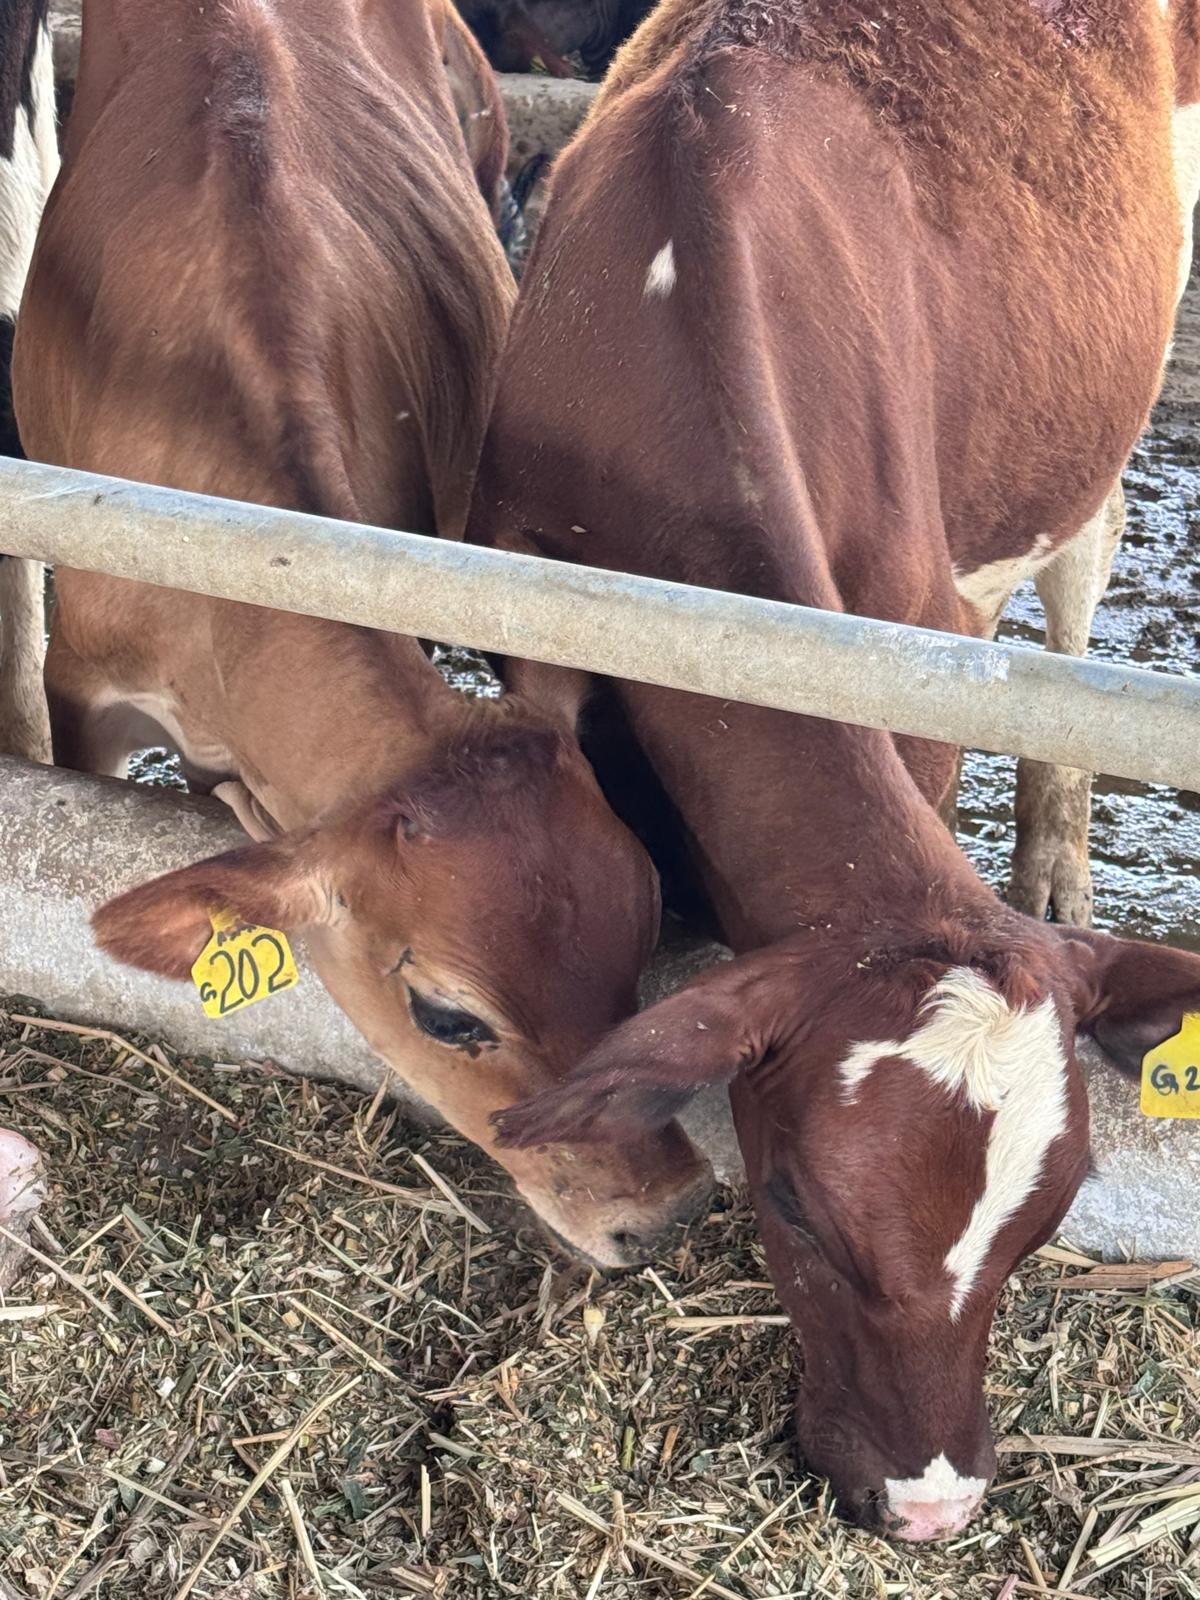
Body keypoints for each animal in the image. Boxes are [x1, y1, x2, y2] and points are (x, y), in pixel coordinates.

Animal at [465, 0, 1200, 1539]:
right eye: (795, 1204)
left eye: (1045, 1226)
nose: (931, 1507)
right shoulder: (529, 612)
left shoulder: (912, 652)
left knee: (1084, 552)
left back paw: (1055, 855)